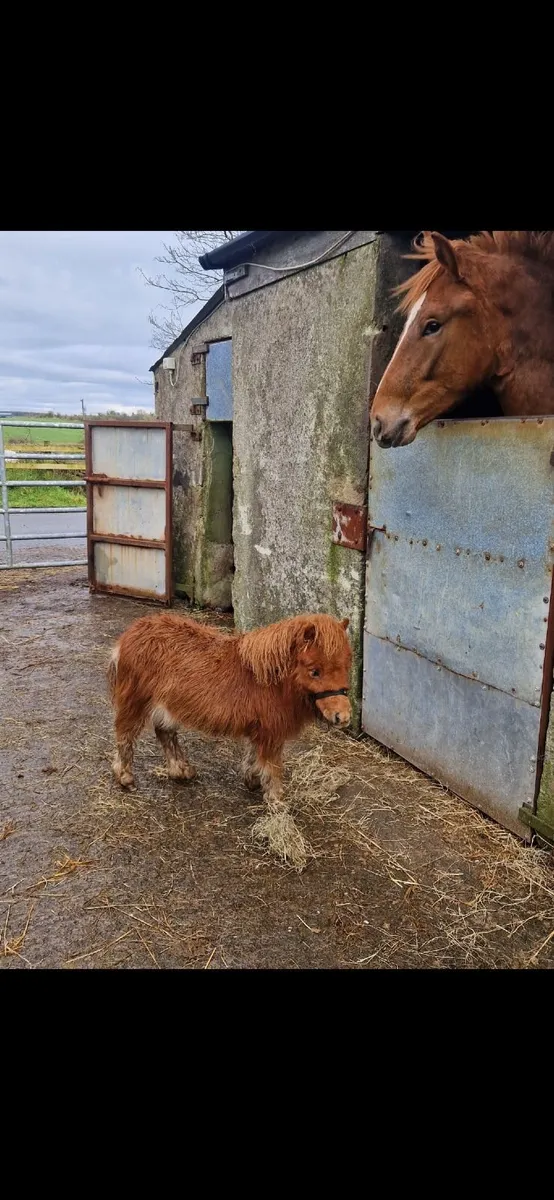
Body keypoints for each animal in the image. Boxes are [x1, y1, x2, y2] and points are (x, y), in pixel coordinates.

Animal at [107, 611, 352, 807]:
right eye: (314, 671)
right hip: (135, 702)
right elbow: (272, 767)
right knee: (125, 734)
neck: (267, 679)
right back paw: (125, 778)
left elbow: (254, 756)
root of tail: (129, 635)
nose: (343, 717)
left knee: (165, 733)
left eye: (346, 666)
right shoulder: (271, 733)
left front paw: (252, 780)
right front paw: (277, 801)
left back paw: (181, 771)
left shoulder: (261, 730)